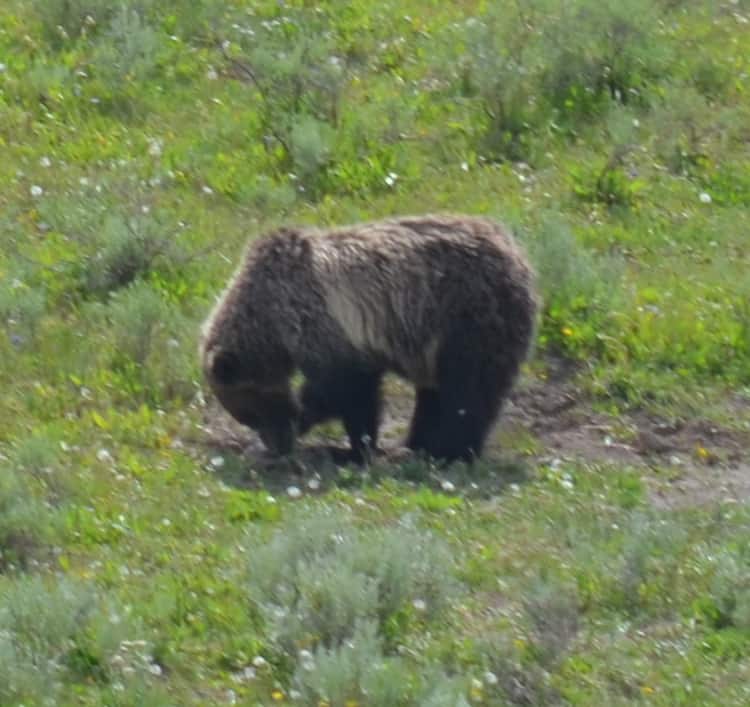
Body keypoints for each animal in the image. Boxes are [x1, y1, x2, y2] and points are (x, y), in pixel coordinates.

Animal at [199, 214, 538, 464]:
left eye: (250, 412)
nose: (275, 444)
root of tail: (517, 254)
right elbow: (359, 393)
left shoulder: (320, 322)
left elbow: (342, 390)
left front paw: (335, 441)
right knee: (437, 392)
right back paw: (419, 443)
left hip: (466, 314)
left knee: (467, 389)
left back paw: (449, 451)